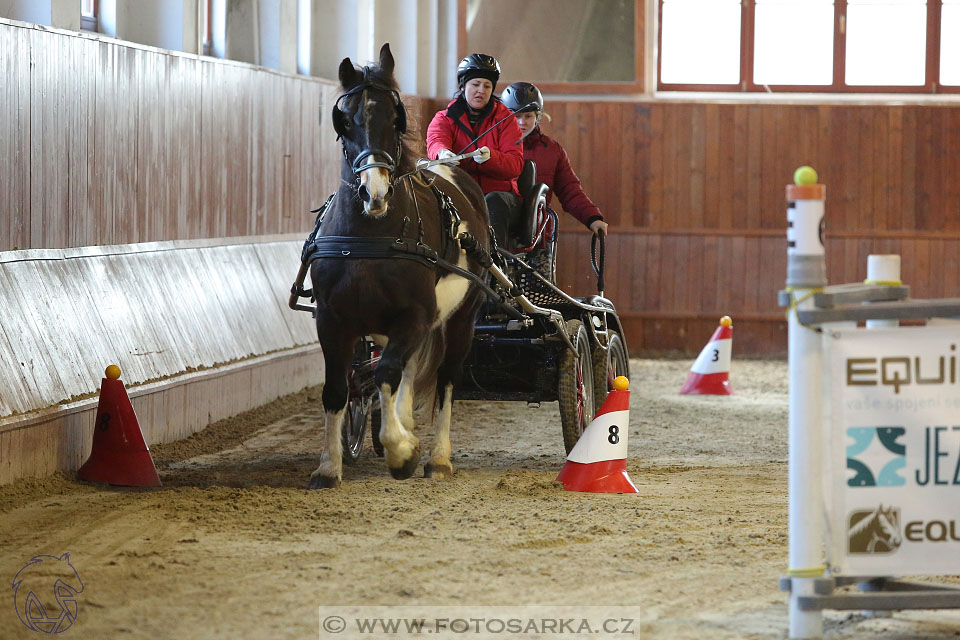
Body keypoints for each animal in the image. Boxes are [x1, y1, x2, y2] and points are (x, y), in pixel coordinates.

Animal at [308, 42, 492, 488]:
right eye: (345, 120)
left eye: (395, 119)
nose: (373, 192)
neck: (369, 238)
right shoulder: (332, 319)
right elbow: (337, 388)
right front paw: (329, 466)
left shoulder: (415, 315)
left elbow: (387, 373)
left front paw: (402, 451)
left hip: (462, 319)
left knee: (446, 379)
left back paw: (437, 457)